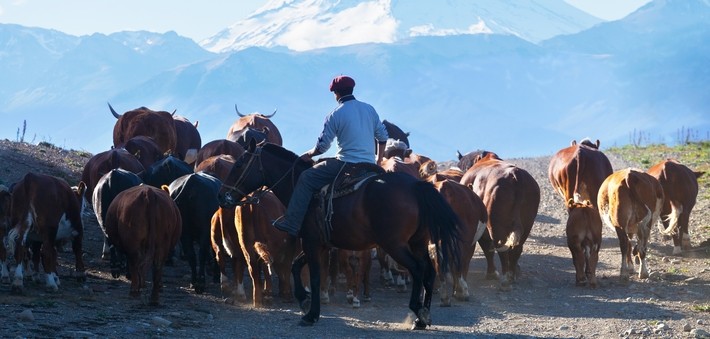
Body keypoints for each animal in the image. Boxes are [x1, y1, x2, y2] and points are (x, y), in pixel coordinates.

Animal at [225, 142, 464, 330]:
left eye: (238, 165)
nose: (222, 195)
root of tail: (415, 186)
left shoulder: (311, 242)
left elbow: (313, 275)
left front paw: (311, 314)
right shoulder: (321, 243)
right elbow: (295, 266)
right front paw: (304, 301)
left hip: (395, 245)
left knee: (417, 269)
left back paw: (417, 310)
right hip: (417, 242)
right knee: (429, 271)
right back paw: (423, 316)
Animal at [458, 153, 544, 290]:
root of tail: (515, 175)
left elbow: (487, 249)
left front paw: (491, 273)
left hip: (496, 226)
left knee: (501, 248)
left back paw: (505, 280)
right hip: (527, 224)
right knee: (516, 249)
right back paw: (512, 275)